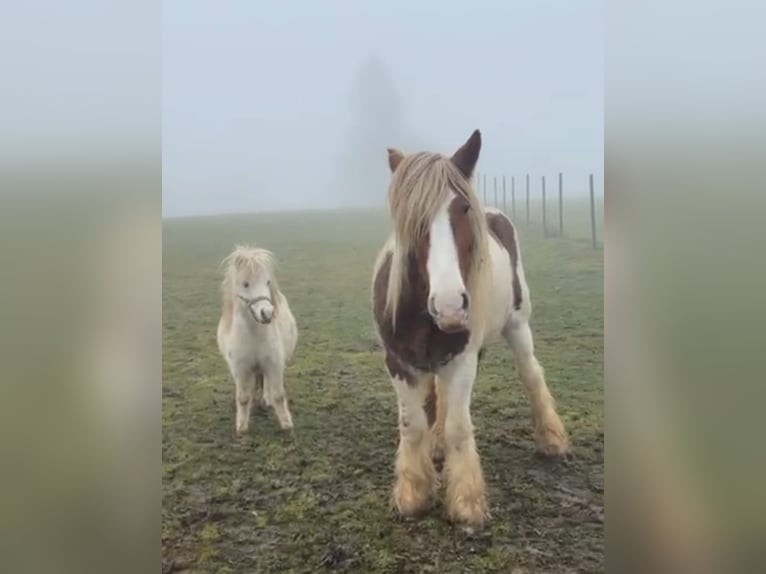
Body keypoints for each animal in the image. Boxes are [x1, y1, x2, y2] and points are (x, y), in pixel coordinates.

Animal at [217, 245, 297, 435]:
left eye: (267, 282)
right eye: (245, 284)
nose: (267, 313)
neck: (253, 333)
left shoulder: (273, 363)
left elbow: (278, 394)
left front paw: (286, 424)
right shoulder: (241, 368)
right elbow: (243, 397)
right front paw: (242, 426)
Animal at [371, 130, 570, 527]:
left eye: (462, 208)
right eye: (409, 216)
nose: (450, 305)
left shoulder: (462, 360)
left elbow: (459, 428)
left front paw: (466, 502)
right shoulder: (398, 362)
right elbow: (413, 424)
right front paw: (412, 493)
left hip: (517, 324)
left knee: (530, 374)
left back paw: (552, 438)